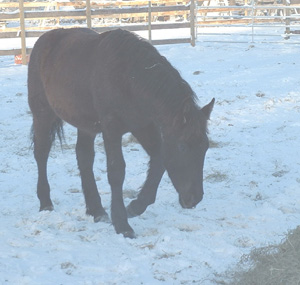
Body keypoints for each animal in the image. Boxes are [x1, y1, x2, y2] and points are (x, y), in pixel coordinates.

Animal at [27, 27, 214, 236]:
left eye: (205, 147)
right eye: (182, 147)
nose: (194, 198)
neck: (129, 78)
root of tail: (45, 39)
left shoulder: (142, 126)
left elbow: (159, 160)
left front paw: (136, 206)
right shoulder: (112, 129)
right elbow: (116, 171)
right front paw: (122, 224)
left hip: (85, 126)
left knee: (84, 158)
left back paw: (96, 210)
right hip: (42, 114)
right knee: (41, 153)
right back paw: (46, 202)